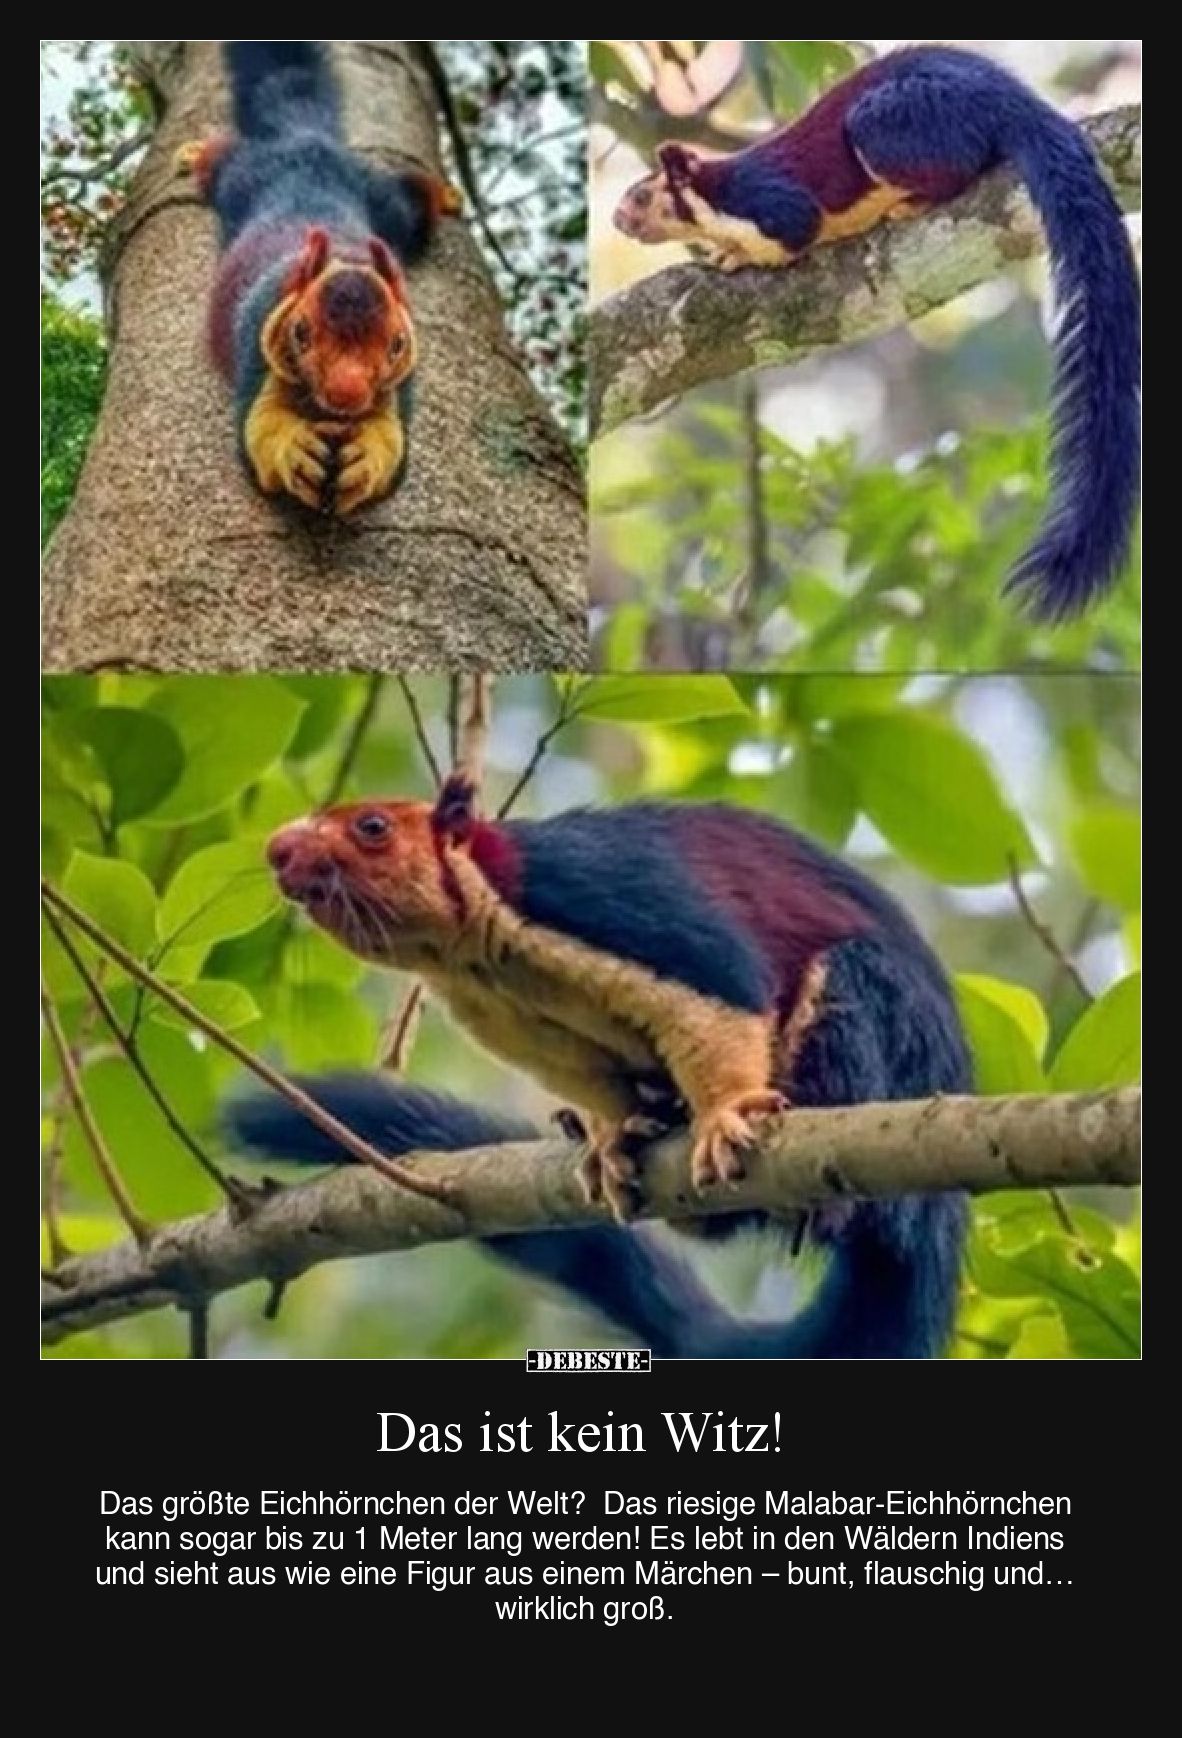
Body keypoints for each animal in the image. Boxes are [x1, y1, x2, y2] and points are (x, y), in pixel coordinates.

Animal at [177, 41, 460, 515]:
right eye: (301, 333)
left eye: (398, 343)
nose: (347, 394)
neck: (346, 259)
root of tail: (308, 141)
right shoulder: (260, 336)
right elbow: (258, 427)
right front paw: (294, 449)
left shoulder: (403, 379)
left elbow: (393, 442)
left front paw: (366, 457)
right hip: (245, 177)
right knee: (226, 158)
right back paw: (198, 153)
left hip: (387, 204)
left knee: (413, 195)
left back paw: (447, 194)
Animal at [225, 775, 971, 1360]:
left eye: (372, 827)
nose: (276, 850)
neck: (474, 950)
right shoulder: (508, 1019)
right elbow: (591, 1077)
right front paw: (611, 1138)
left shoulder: (602, 895)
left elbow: (722, 987)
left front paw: (724, 1116)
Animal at [613, 44, 1142, 621]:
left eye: (642, 197)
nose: (617, 220)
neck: (713, 198)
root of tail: (1016, 99)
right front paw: (719, 251)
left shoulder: (766, 200)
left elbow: (795, 231)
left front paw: (733, 255)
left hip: (897, 118)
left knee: (956, 165)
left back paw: (908, 201)